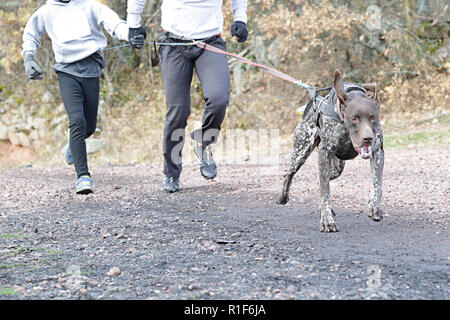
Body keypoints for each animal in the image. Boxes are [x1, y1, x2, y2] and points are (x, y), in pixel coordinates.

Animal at [276, 69, 384, 232]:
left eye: (373, 118)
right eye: (354, 118)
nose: (368, 138)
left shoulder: (377, 152)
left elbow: (377, 183)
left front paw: (375, 206)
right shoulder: (324, 152)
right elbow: (325, 192)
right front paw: (327, 220)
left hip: (337, 166)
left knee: (326, 178)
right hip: (300, 153)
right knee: (289, 174)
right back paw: (283, 197)